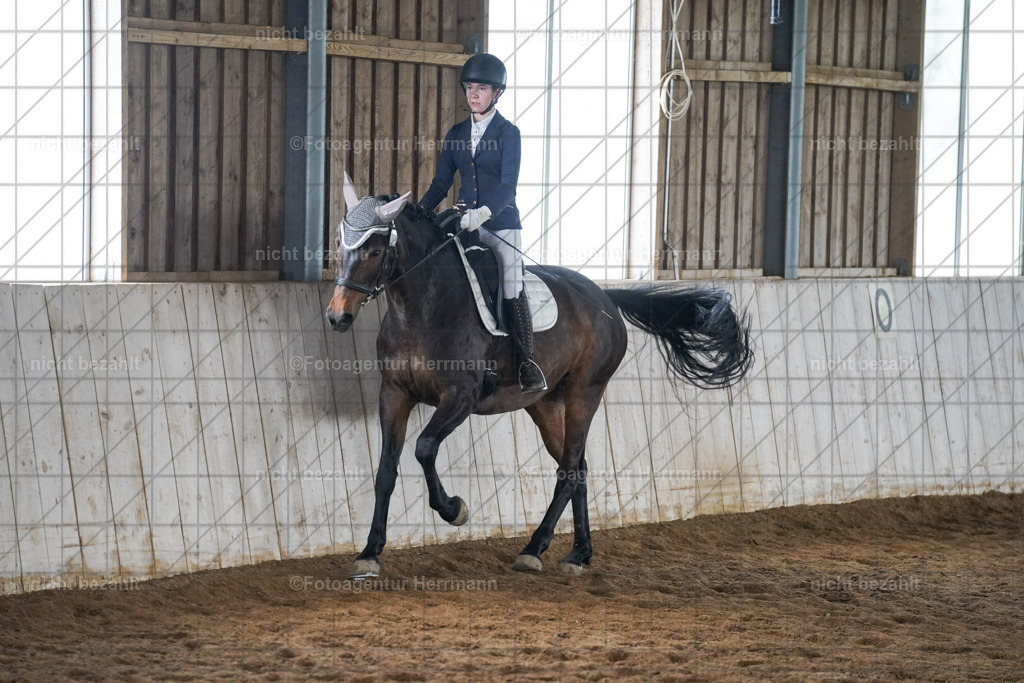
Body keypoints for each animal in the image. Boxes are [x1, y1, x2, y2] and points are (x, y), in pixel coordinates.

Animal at [325, 174, 753, 579]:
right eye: (340, 246)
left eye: (374, 251)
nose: (337, 317)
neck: (423, 304)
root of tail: (605, 298)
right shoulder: (394, 393)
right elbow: (385, 471)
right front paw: (369, 554)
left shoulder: (460, 397)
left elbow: (425, 447)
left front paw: (454, 509)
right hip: (544, 404)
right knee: (577, 465)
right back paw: (579, 553)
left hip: (585, 392)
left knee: (569, 469)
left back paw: (534, 549)